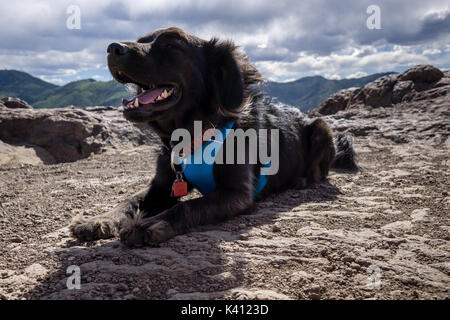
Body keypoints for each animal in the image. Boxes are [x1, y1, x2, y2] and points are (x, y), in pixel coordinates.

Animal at [69, 27, 358, 248]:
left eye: (171, 45)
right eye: (141, 40)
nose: (112, 48)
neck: (192, 135)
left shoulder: (236, 194)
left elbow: (186, 207)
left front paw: (148, 225)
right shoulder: (162, 185)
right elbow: (129, 200)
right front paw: (98, 219)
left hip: (322, 127)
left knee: (320, 171)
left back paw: (301, 180)